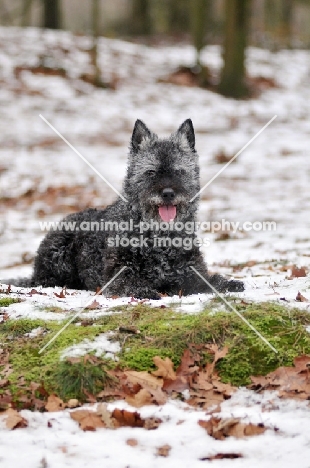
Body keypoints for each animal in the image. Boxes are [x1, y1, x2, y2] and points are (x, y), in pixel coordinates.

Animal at [7, 119, 245, 298]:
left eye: (179, 171)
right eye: (150, 172)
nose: (168, 193)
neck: (159, 239)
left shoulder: (190, 273)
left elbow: (209, 281)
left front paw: (227, 283)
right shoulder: (118, 275)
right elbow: (129, 283)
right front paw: (143, 290)